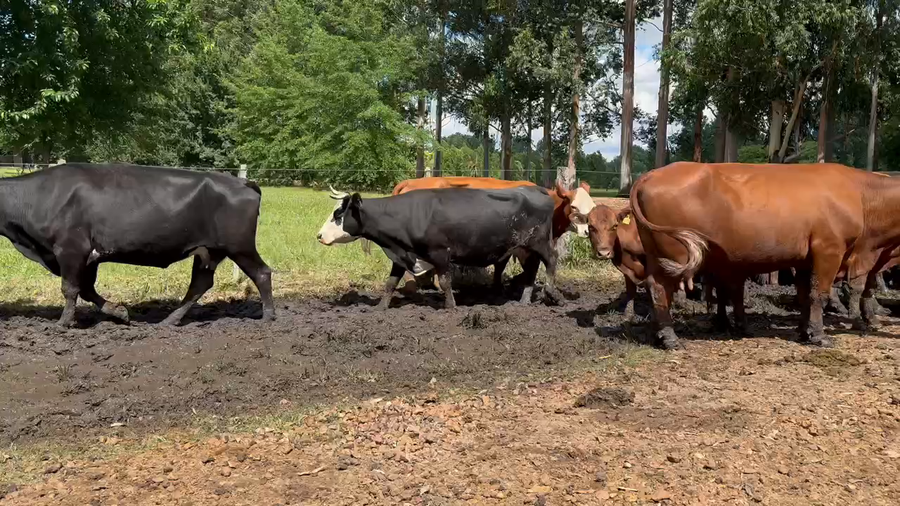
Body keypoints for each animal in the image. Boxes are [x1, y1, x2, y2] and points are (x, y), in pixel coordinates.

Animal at [0, 163, 275, 326]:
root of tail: (242, 182)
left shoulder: (70, 248)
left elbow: (70, 288)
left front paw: (63, 322)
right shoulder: (89, 256)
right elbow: (86, 289)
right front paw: (119, 312)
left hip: (239, 245)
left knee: (261, 272)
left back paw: (269, 316)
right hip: (209, 250)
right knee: (200, 283)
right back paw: (169, 320)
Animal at [317, 186, 562, 309]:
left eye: (338, 214)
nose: (319, 235)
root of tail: (539, 191)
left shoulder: (441, 253)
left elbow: (445, 282)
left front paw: (451, 306)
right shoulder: (400, 255)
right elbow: (390, 284)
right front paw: (380, 307)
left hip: (539, 242)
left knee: (551, 260)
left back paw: (550, 293)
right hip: (523, 249)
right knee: (531, 271)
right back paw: (524, 300)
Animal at [630, 162, 900, 350]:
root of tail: (651, 174)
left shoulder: (807, 258)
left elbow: (806, 295)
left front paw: (805, 331)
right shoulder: (829, 249)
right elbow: (819, 295)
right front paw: (819, 335)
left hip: (656, 252)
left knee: (653, 285)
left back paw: (657, 334)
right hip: (674, 252)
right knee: (660, 288)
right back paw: (670, 337)